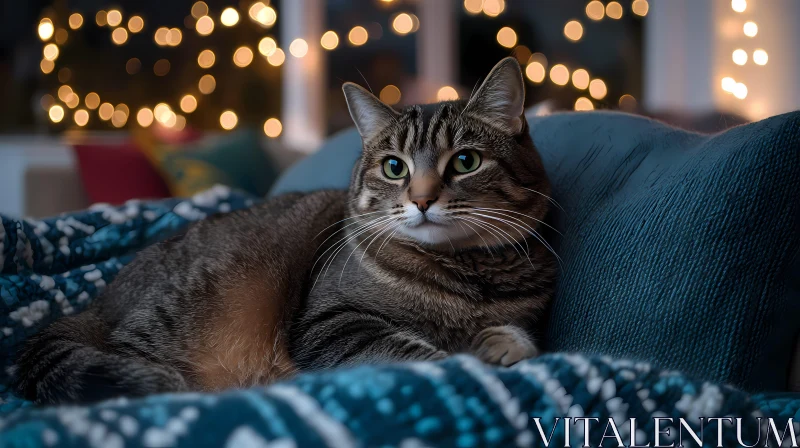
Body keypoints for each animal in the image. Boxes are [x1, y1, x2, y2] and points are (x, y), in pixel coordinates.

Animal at [12, 57, 556, 404]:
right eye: (394, 167)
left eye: (465, 161)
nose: (422, 200)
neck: (465, 277)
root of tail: (99, 302)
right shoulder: (330, 323)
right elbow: (422, 354)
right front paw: (467, 358)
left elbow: (516, 332)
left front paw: (501, 343)